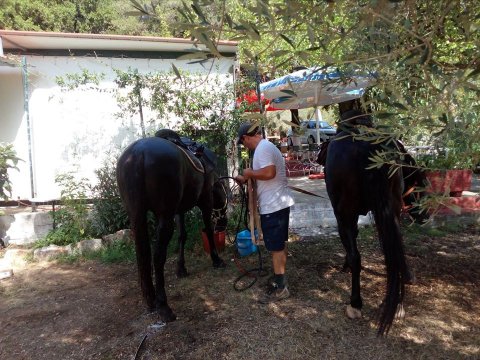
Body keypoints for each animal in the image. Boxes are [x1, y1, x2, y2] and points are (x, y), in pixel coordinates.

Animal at [117, 131, 228, 322]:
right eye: (224, 203)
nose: (223, 224)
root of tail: (137, 154)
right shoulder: (205, 200)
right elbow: (207, 229)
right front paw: (216, 259)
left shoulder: (179, 210)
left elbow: (182, 236)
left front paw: (181, 269)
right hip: (164, 217)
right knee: (158, 256)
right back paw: (163, 306)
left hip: (137, 215)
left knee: (143, 254)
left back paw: (151, 300)